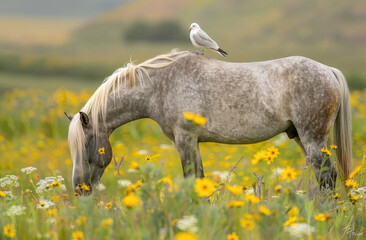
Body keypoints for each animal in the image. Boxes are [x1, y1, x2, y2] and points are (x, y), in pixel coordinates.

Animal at [65, 50, 352, 193]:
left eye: (85, 146)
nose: (79, 188)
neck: (160, 85)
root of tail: (328, 70)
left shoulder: (186, 139)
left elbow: (193, 178)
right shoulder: (190, 142)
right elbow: (199, 178)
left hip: (313, 139)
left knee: (327, 177)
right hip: (301, 137)